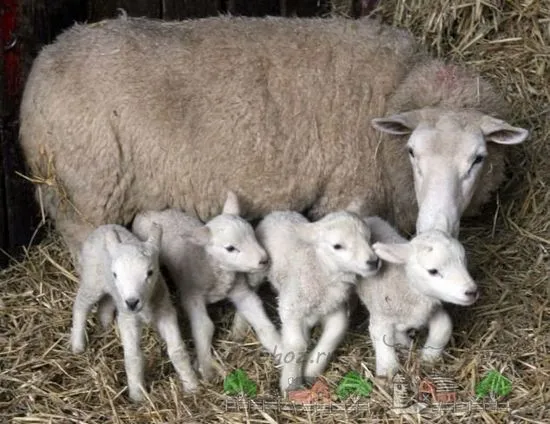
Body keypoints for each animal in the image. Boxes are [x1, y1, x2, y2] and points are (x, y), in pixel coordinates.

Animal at [18, 15, 532, 264]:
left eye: (478, 158)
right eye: (411, 153)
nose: (435, 226)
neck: (395, 87)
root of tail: (42, 66)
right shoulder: (347, 194)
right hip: (85, 196)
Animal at [69, 224, 198, 402]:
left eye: (150, 272)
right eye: (115, 274)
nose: (132, 302)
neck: (145, 307)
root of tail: (103, 227)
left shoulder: (165, 311)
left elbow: (177, 351)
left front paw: (191, 385)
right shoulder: (128, 319)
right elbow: (133, 357)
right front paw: (137, 395)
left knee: (106, 304)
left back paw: (105, 326)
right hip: (92, 280)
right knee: (81, 305)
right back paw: (78, 344)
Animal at [132, 192, 282, 380]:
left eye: (253, 234)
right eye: (230, 248)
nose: (264, 260)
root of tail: (144, 210)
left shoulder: (240, 291)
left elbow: (261, 319)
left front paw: (280, 347)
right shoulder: (192, 295)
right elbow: (204, 327)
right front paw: (206, 367)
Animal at [252, 205, 382, 394]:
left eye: (368, 238)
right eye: (337, 246)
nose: (373, 261)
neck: (320, 269)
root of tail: (278, 212)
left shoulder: (334, 307)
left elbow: (336, 332)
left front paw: (311, 370)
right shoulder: (291, 307)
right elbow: (296, 344)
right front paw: (291, 382)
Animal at [356, 215, 480, 378]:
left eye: (464, 262)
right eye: (433, 271)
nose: (471, 292)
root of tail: (368, 217)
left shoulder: (430, 311)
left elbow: (444, 327)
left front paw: (428, 356)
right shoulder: (381, 315)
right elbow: (383, 340)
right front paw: (386, 370)